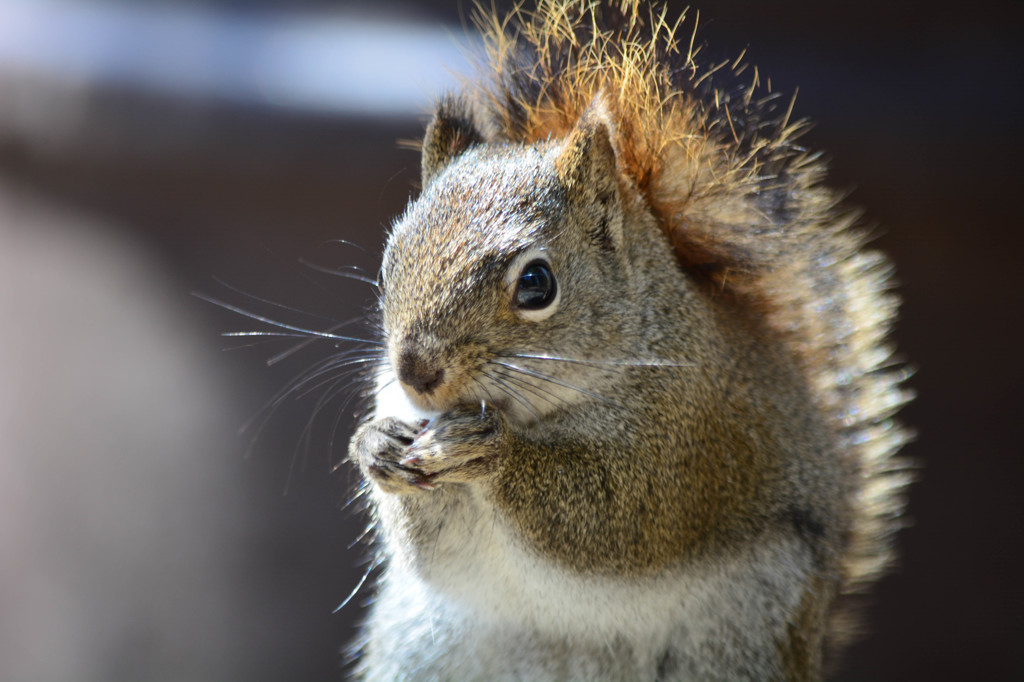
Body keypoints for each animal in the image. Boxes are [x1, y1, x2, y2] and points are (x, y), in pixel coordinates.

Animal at [346, 2, 913, 675]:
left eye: (537, 284)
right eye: (388, 266)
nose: (416, 373)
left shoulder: (687, 437)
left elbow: (617, 517)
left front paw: (492, 453)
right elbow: (430, 548)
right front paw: (374, 444)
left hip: (745, 634)